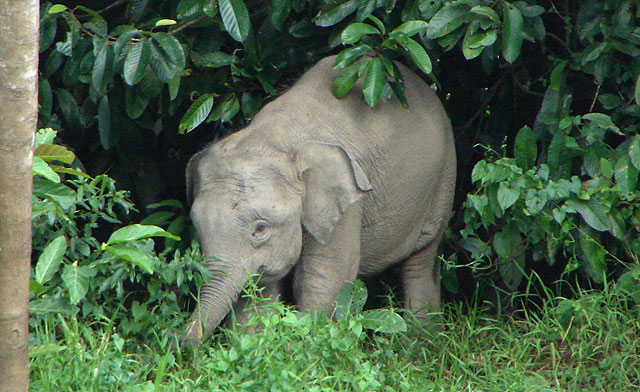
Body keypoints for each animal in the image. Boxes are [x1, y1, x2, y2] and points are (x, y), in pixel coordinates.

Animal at [182, 56, 458, 346]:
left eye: (260, 229)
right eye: (197, 228)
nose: (178, 342)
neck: (275, 138)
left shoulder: (348, 205)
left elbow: (323, 277)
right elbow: (262, 287)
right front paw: (252, 344)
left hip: (444, 175)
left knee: (421, 260)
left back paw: (422, 341)